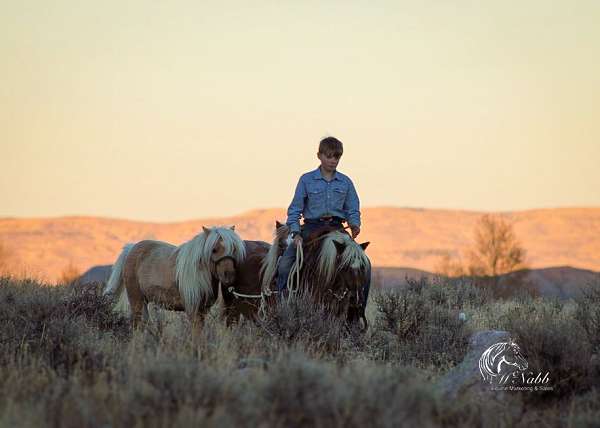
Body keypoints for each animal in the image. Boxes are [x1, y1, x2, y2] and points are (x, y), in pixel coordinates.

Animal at [104, 226, 245, 330]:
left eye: (234, 249)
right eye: (214, 249)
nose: (229, 275)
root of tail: (131, 248)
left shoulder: (202, 311)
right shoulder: (193, 310)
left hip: (144, 301)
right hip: (136, 300)